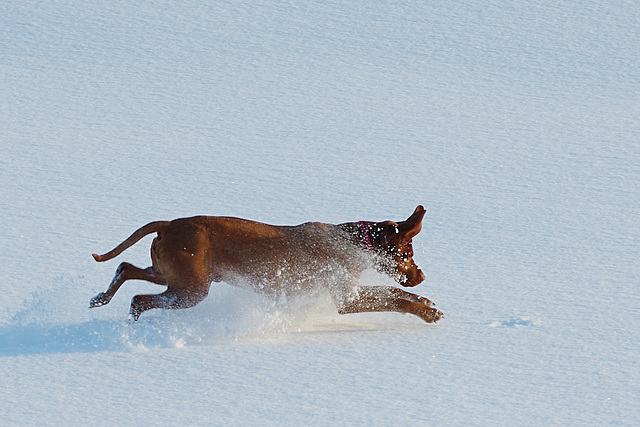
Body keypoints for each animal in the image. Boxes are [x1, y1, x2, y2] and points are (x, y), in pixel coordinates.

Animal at [90, 206, 442, 322]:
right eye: (407, 255)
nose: (422, 276)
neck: (353, 241)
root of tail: (169, 224)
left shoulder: (351, 290)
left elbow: (393, 293)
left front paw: (425, 301)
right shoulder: (346, 299)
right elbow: (393, 299)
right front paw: (426, 313)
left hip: (171, 275)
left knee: (124, 267)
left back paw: (101, 298)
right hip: (190, 290)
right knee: (139, 299)